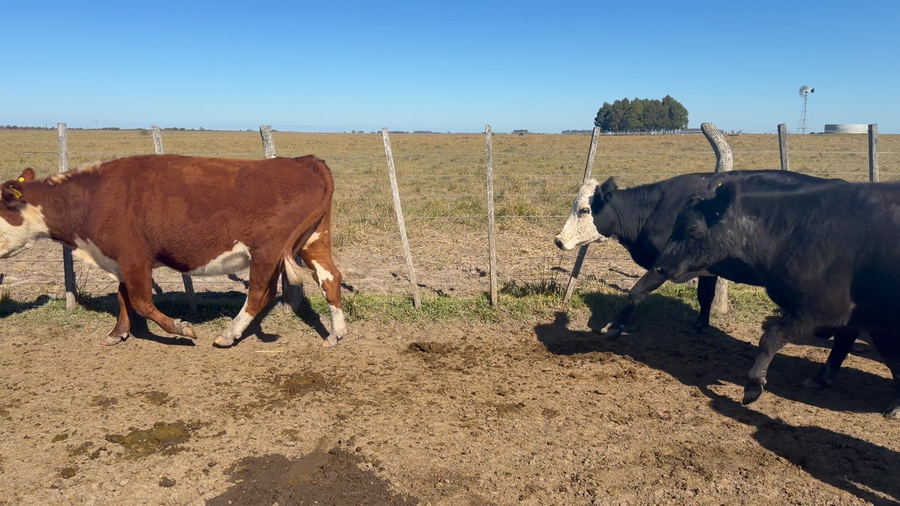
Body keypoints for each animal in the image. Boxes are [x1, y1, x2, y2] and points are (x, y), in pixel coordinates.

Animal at [0, 154, 347, 348]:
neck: (93, 196)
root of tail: (305, 160)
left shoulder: (134, 257)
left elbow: (141, 301)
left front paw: (182, 329)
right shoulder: (122, 260)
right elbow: (123, 297)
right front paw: (117, 333)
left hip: (267, 250)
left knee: (260, 293)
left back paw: (228, 335)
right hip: (314, 241)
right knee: (331, 278)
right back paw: (336, 334)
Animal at [554, 170, 847, 338]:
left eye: (584, 210)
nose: (559, 240)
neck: (657, 208)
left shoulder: (665, 264)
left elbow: (636, 293)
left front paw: (615, 327)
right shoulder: (706, 269)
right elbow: (705, 296)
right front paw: (701, 325)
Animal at [653, 180, 900, 418]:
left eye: (692, 228)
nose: (660, 266)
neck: (790, 233)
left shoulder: (820, 310)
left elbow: (770, 338)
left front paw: (753, 386)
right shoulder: (873, 321)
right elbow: (891, 359)